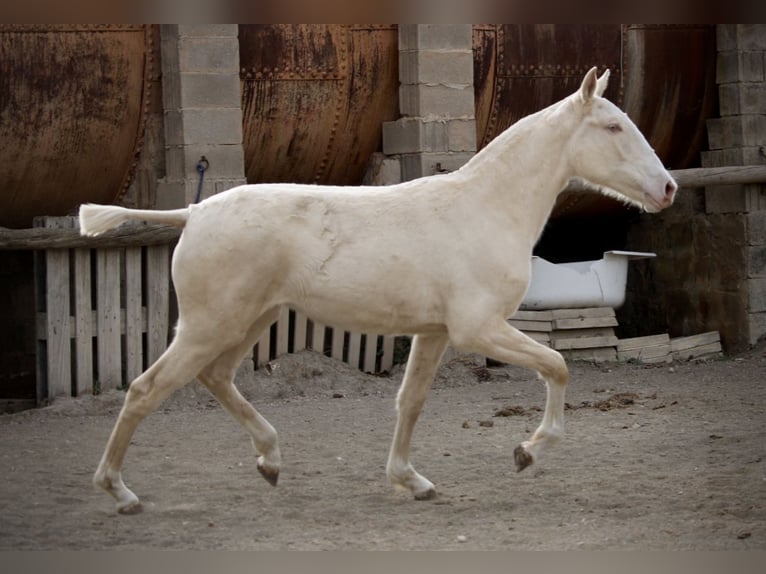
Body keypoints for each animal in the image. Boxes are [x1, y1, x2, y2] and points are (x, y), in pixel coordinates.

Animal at [79, 65, 680, 516]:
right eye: (612, 128)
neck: (485, 207)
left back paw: (270, 462)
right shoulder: (478, 329)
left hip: (249, 321)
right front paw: (527, 453)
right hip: (210, 325)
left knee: (216, 378)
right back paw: (120, 491)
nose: (668, 188)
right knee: (146, 389)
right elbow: (557, 365)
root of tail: (194, 210)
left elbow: (409, 401)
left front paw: (411, 481)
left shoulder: (435, 332)